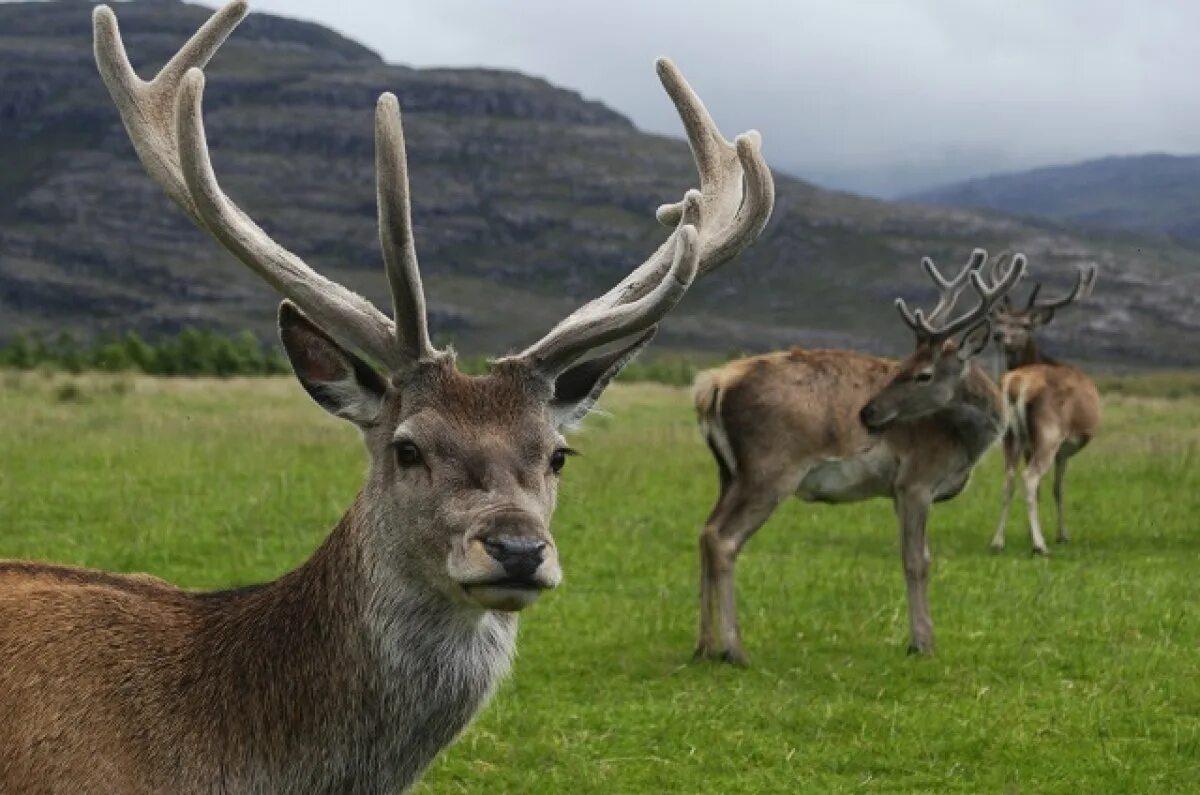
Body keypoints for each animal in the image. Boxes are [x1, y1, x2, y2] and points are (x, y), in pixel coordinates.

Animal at [691, 249, 1027, 667]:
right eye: (903, 366)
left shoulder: (901, 492)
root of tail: (711, 386)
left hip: (728, 471)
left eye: (922, 373)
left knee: (705, 531)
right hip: (769, 469)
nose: (867, 413)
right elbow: (916, 561)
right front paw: (922, 643)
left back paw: (704, 646)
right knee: (723, 538)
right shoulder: (915, 480)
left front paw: (922, 638)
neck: (965, 442)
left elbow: (921, 556)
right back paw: (734, 649)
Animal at [988, 261, 1099, 554]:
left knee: (1008, 479)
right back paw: (1040, 545)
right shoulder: (1064, 449)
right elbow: (1058, 489)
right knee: (1029, 478)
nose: (998, 335)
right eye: (1001, 321)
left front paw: (1031, 532)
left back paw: (998, 541)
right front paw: (1061, 534)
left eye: (1026, 324)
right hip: (1049, 432)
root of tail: (1017, 383)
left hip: (1010, 435)